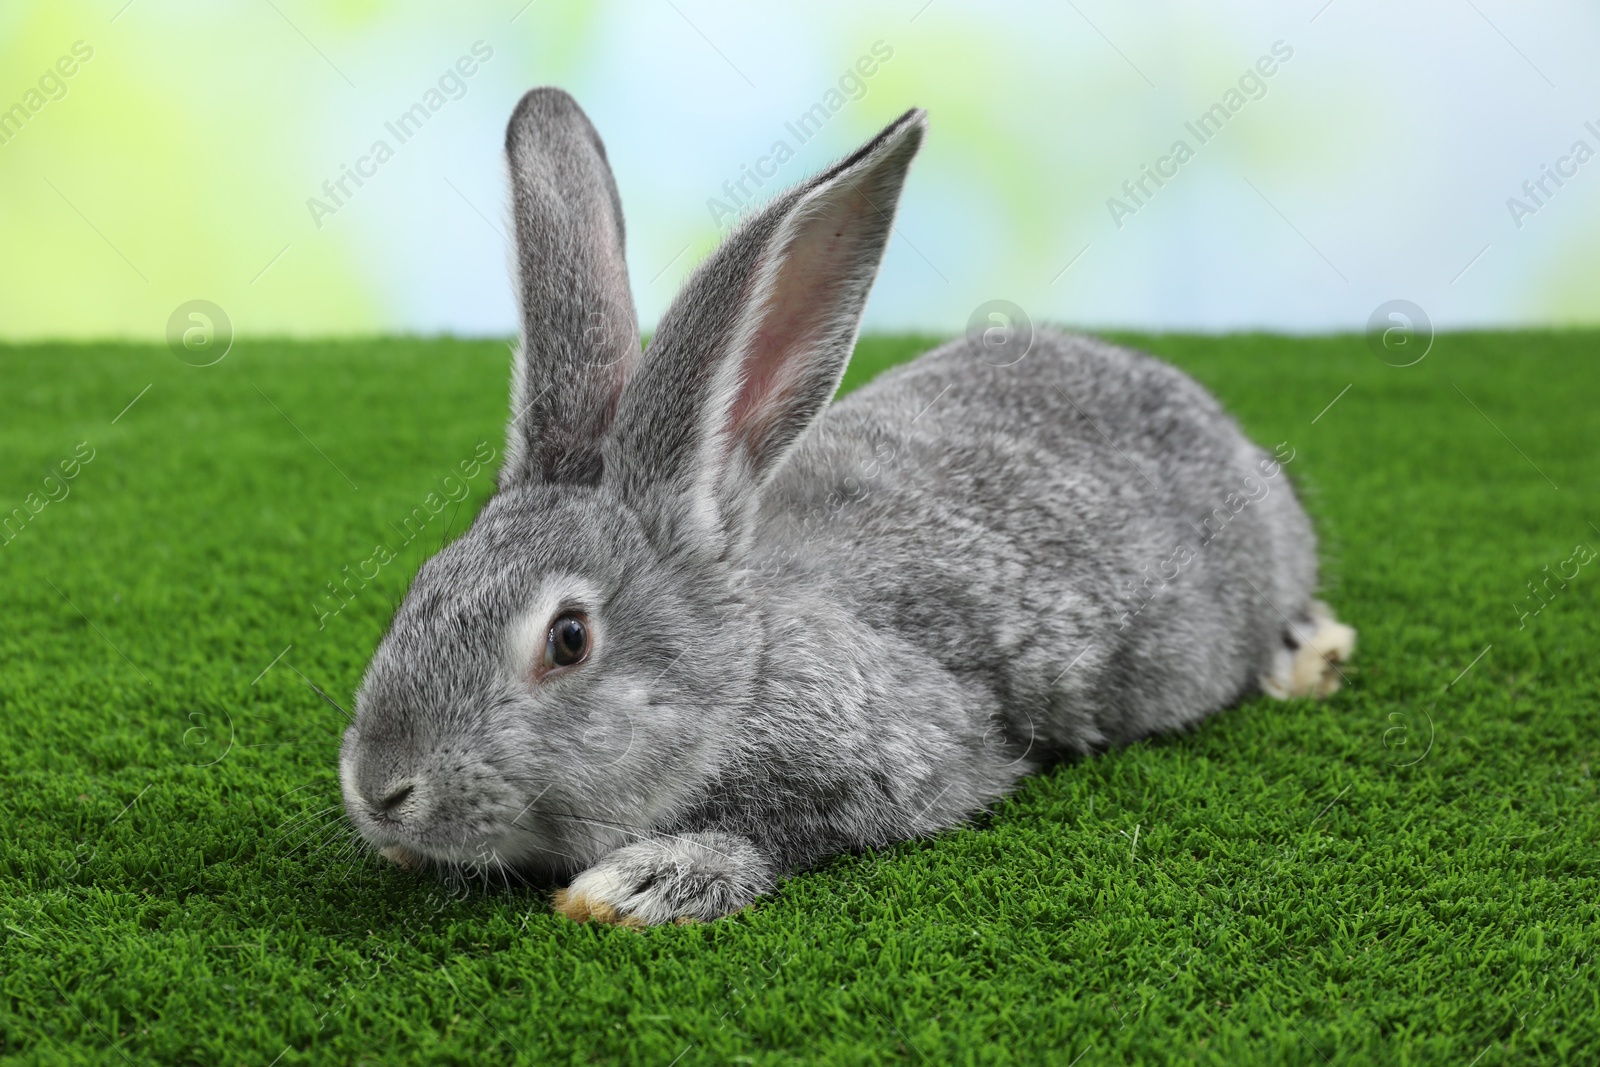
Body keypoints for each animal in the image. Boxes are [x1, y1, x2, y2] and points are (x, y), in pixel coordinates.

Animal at [337, 89, 1350, 927]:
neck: (744, 670)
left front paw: (642, 884)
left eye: (570, 638)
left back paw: (1309, 658)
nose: (380, 789)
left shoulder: (916, 755)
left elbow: (795, 831)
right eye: (424, 583)